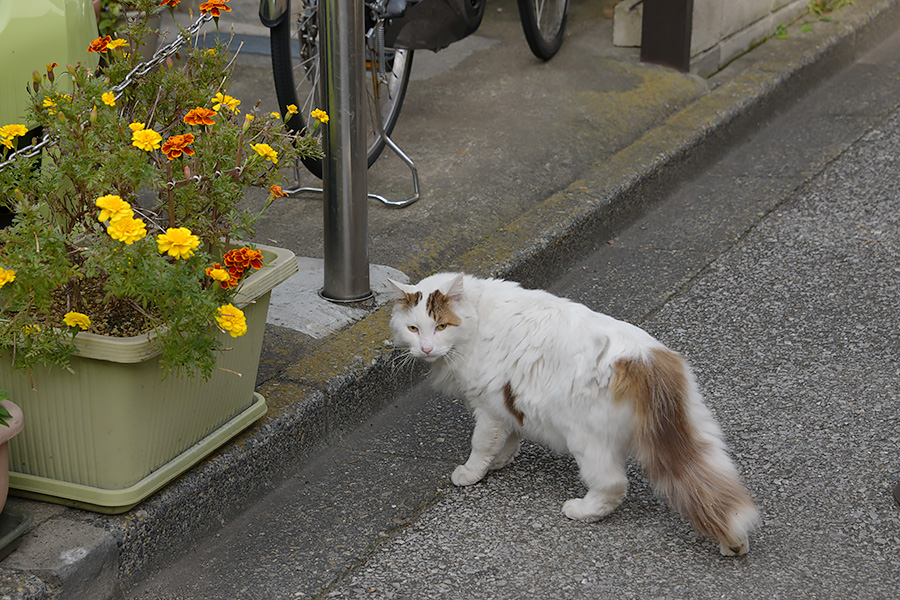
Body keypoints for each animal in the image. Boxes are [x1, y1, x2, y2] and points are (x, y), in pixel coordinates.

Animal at [388, 274, 760, 556]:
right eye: (412, 328)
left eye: (440, 326)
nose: (425, 348)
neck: (477, 317)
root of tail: (644, 360)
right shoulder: (506, 404)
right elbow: (508, 439)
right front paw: (500, 461)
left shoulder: (488, 407)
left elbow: (482, 444)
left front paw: (471, 472)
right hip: (698, 434)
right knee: (716, 487)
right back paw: (736, 542)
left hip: (587, 440)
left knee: (613, 485)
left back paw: (582, 511)